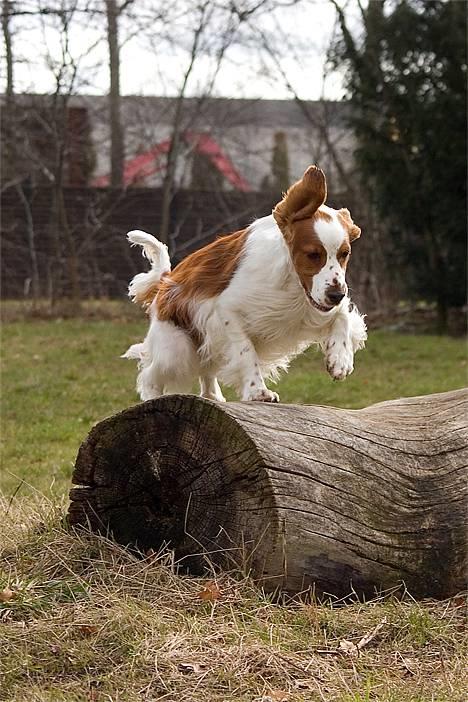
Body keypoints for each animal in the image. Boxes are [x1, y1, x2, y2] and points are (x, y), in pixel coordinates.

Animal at [123, 166, 366, 404]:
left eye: (345, 254)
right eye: (313, 254)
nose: (336, 294)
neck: (293, 284)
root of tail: (165, 281)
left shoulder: (317, 308)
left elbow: (342, 317)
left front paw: (340, 360)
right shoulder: (226, 311)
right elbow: (245, 351)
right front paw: (258, 391)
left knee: (206, 370)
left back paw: (214, 397)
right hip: (176, 348)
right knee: (150, 373)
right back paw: (152, 398)